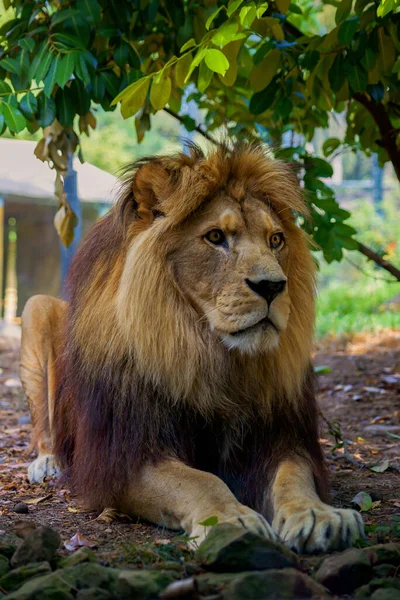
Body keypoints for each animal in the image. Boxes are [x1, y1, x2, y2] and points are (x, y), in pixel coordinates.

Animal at [18, 142, 364, 552]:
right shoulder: (123, 458)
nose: (273, 286)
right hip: (36, 308)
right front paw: (230, 519)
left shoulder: (278, 437)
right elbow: (201, 481)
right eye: (215, 237)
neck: (207, 353)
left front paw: (318, 514)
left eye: (276, 240)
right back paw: (47, 463)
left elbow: (293, 477)